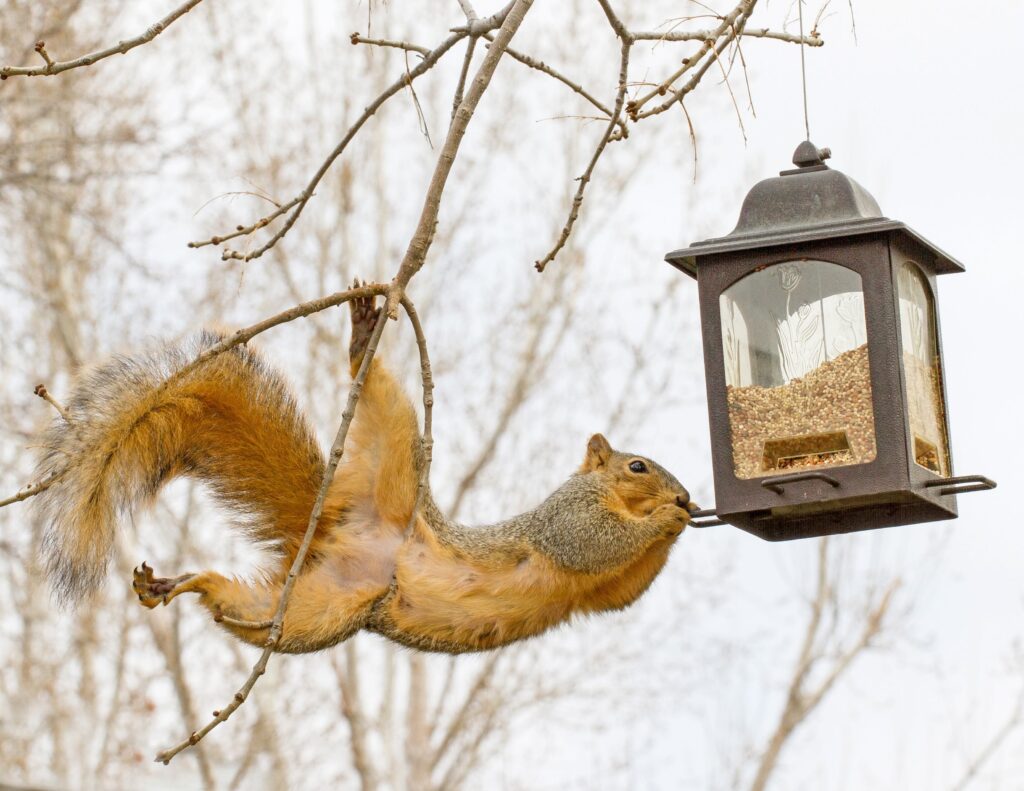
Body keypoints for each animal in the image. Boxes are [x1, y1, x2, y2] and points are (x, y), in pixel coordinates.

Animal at [34, 289, 698, 655]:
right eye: (637, 465)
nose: (688, 495)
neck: (606, 492)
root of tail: (336, 529)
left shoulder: (599, 594)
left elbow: (622, 589)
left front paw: (682, 519)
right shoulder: (565, 518)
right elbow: (592, 543)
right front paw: (667, 519)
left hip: (314, 613)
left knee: (239, 607)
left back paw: (181, 583)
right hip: (396, 453)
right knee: (379, 396)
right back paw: (360, 337)